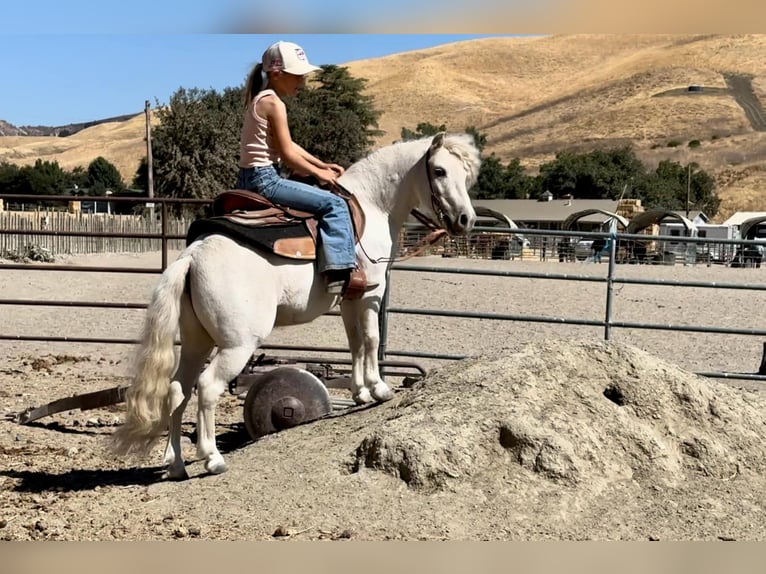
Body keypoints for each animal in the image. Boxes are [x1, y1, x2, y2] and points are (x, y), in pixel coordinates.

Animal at [111, 133, 484, 480]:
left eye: (465, 174)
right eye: (439, 171)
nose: (466, 220)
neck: (373, 204)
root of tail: (193, 254)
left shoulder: (350, 299)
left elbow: (355, 344)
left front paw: (361, 392)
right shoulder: (371, 295)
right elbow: (372, 340)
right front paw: (379, 389)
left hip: (195, 342)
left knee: (178, 391)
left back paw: (176, 464)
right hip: (237, 345)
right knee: (206, 388)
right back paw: (212, 458)